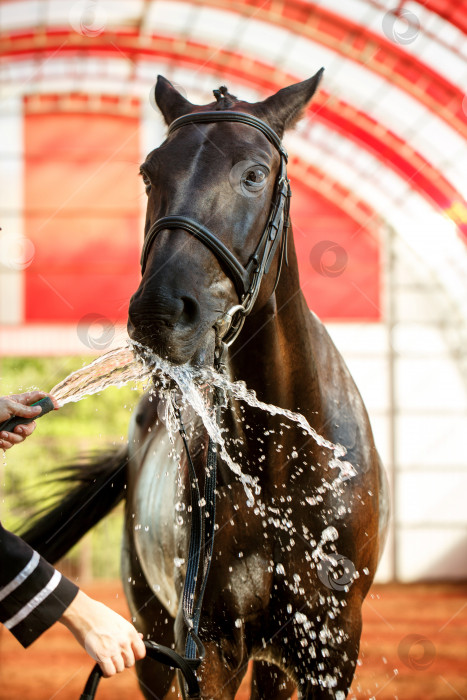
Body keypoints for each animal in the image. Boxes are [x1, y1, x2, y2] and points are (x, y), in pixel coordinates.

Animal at [22, 72, 390, 700]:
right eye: (150, 172)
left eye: (254, 174)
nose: (160, 313)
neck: (280, 468)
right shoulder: (206, 651)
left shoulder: (331, 649)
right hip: (151, 638)